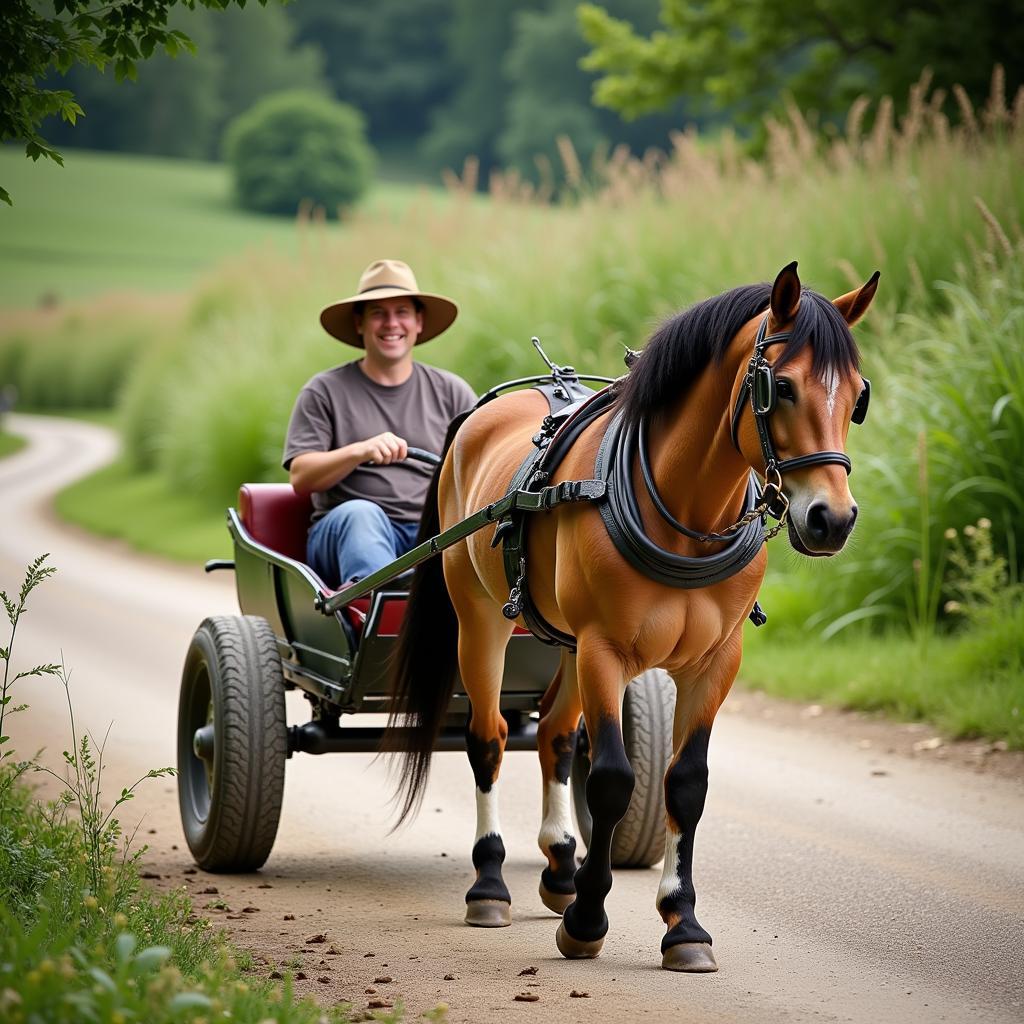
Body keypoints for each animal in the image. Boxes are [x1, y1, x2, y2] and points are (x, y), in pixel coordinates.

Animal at [385, 260, 880, 970]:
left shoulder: (715, 662)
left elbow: (687, 784)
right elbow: (614, 779)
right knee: (490, 738)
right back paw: (490, 883)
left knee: (556, 736)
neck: (684, 515)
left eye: (858, 396)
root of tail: (481, 413)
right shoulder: (605, 650)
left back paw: (560, 866)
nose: (831, 519)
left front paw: (684, 923)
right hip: (480, 619)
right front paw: (589, 921)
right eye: (780, 387)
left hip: (561, 638)